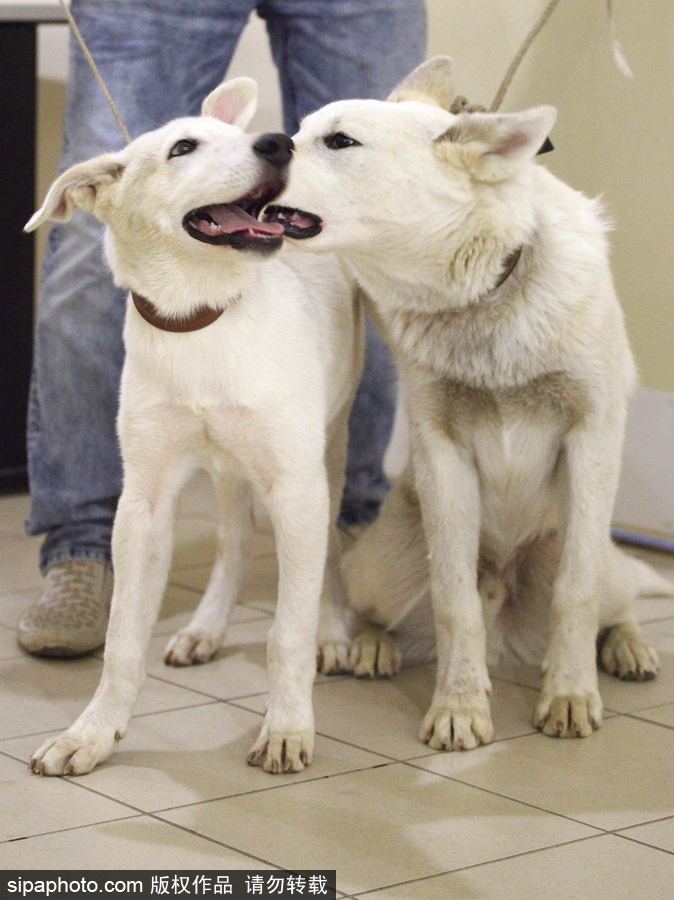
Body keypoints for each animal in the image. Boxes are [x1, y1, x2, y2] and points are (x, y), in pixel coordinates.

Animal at [26, 77, 362, 776]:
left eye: (250, 136)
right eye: (183, 148)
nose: (280, 142)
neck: (203, 316)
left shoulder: (296, 486)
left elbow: (287, 633)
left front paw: (288, 727)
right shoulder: (144, 502)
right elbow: (122, 640)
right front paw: (90, 733)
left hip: (331, 445)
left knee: (328, 548)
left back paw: (336, 629)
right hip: (230, 467)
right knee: (234, 541)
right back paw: (206, 627)